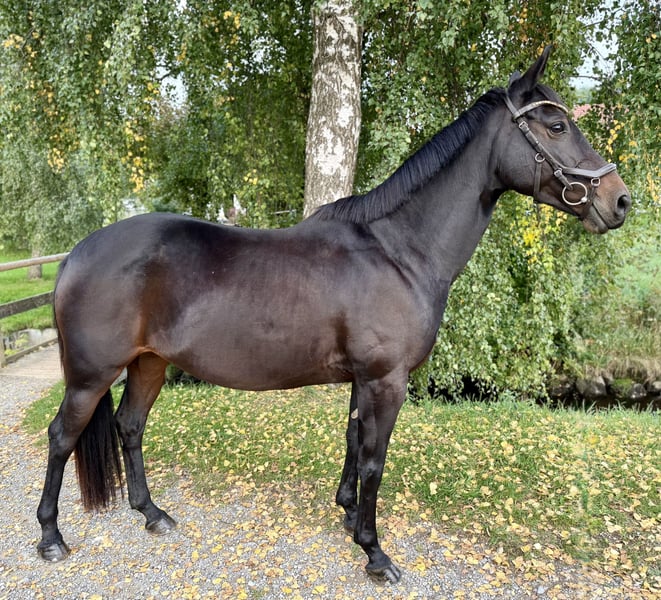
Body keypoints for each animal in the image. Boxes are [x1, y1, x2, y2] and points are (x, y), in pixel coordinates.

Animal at [36, 47, 630, 583]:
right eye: (556, 125)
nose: (620, 201)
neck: (398, 251)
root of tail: (77, 254)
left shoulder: (363, 379)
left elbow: (351, 443)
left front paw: (346, 514)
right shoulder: (387, 381)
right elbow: (374, 459)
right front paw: (374, 551)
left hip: (149, 363)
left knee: (130, 427)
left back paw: (152, 514)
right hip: (90, 376)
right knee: (62, 437)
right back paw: (50, 537)